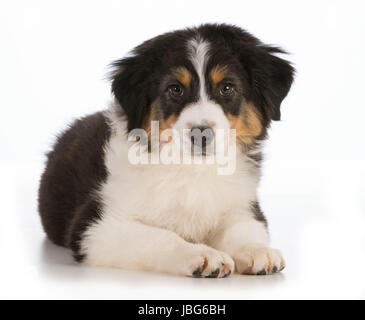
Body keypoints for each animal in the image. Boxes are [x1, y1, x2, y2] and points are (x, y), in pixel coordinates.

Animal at [37, 23, 292, 278]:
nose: (201, 134)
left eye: (227, 88)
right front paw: (203, 255)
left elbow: (244, 228)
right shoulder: (94, 225)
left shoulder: (243, 205)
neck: (192, 168)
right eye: (175, 89)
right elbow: (158, 237)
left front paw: (257, 250)